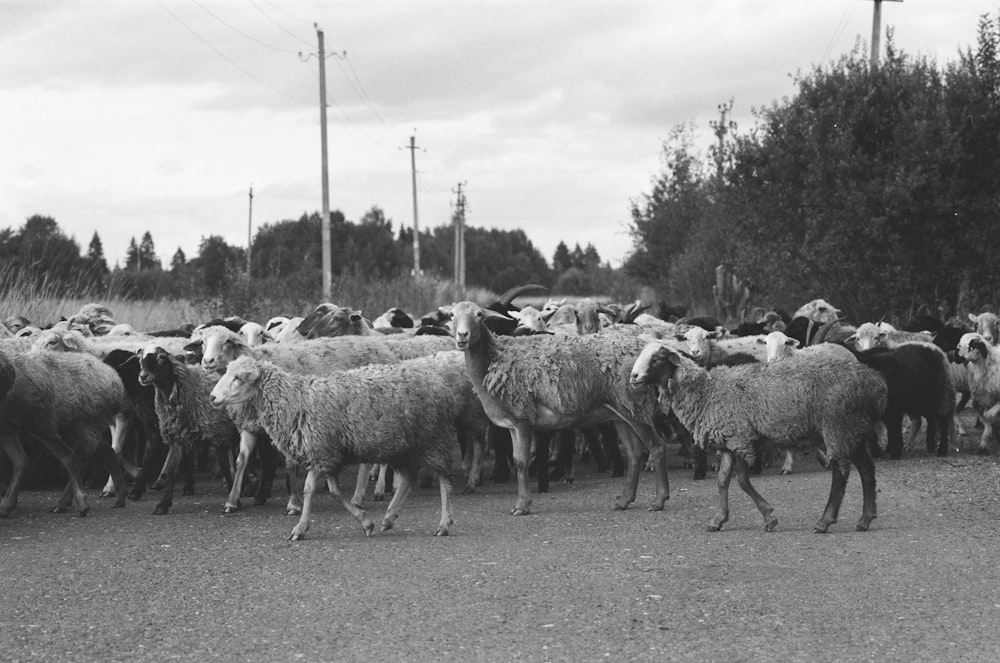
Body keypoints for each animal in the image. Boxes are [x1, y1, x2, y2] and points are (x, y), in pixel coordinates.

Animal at [208, 356, 480, 544]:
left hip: (431, 439)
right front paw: (365, 522)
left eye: (238, 378)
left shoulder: (320, 451)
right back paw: (388, 518)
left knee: (444, 479)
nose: (212, 398)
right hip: (402, 446)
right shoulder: (328, 455)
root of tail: (438, 383)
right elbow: (335, 492)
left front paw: (300, 528)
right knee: (408, 478)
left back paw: (444, 524)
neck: (295, 400)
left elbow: (310, 490)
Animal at [628, 342, 888, 536]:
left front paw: (769, 517)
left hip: (837, 426)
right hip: (855, 429)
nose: (633, 376)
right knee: (866, 469)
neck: (707, 393)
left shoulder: (741, 438)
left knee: (840, 473)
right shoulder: (728, 442)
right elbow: (722, 481)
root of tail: (876, 383)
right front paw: (718, 519)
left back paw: (825, 521)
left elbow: (742, 481)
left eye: (659, 358)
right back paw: (865, 519)